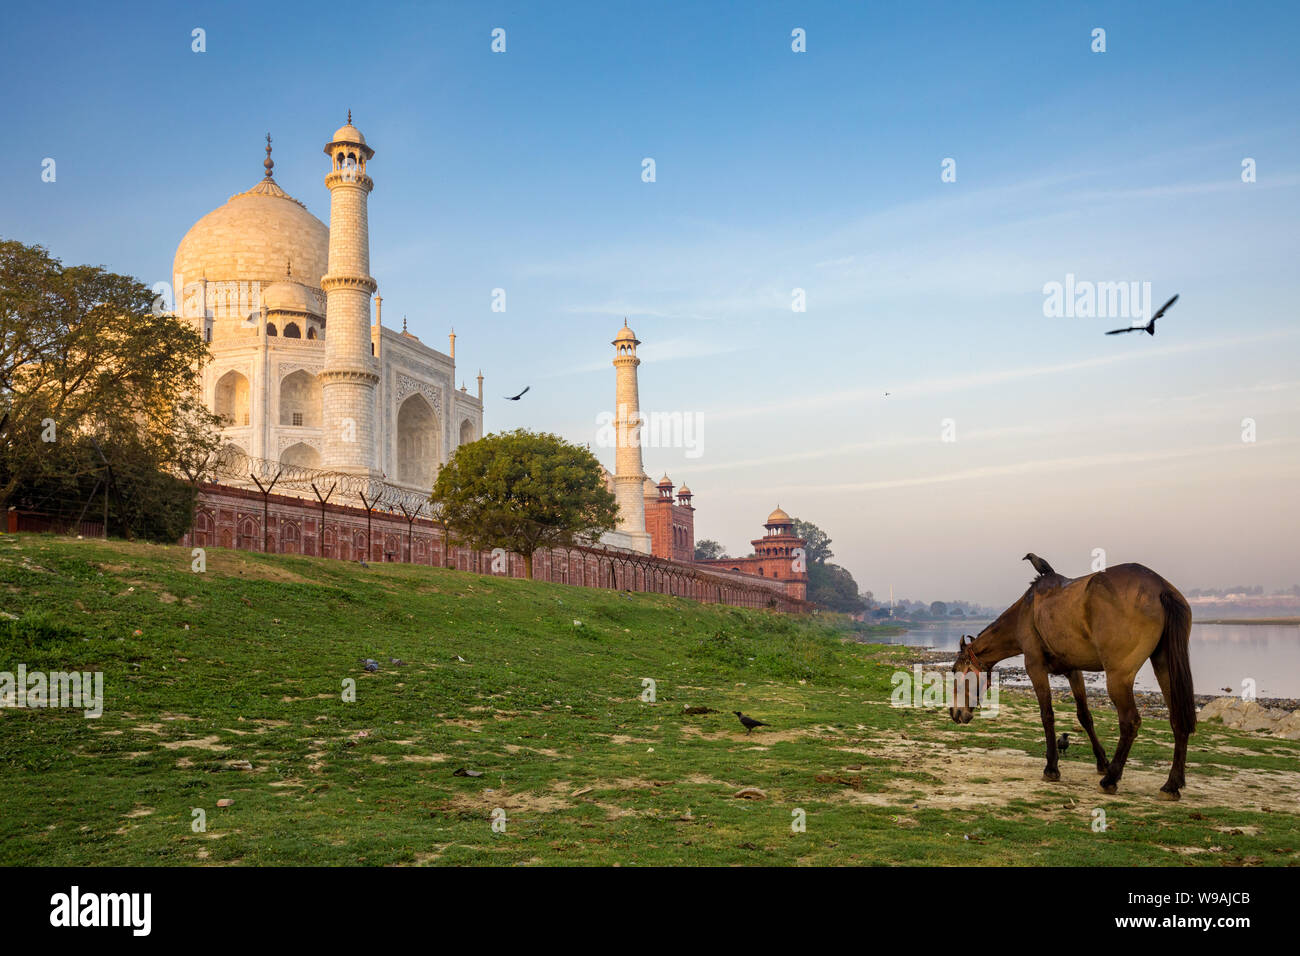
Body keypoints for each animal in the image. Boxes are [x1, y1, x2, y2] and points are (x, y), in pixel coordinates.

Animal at [951, 561, 1190, 801]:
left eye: (955, 672)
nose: (955, 713)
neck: (1024, 614)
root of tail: (1160, 588)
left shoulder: (1035, 668)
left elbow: (1047, 715)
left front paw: (1051, 768)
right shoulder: (1073, 671)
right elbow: (1085, 716)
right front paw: (1102, 762)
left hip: (1119, 677)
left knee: (1130, 721)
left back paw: (1111, 780)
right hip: (1165, 667)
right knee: (1178, 719)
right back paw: (1171, 785)